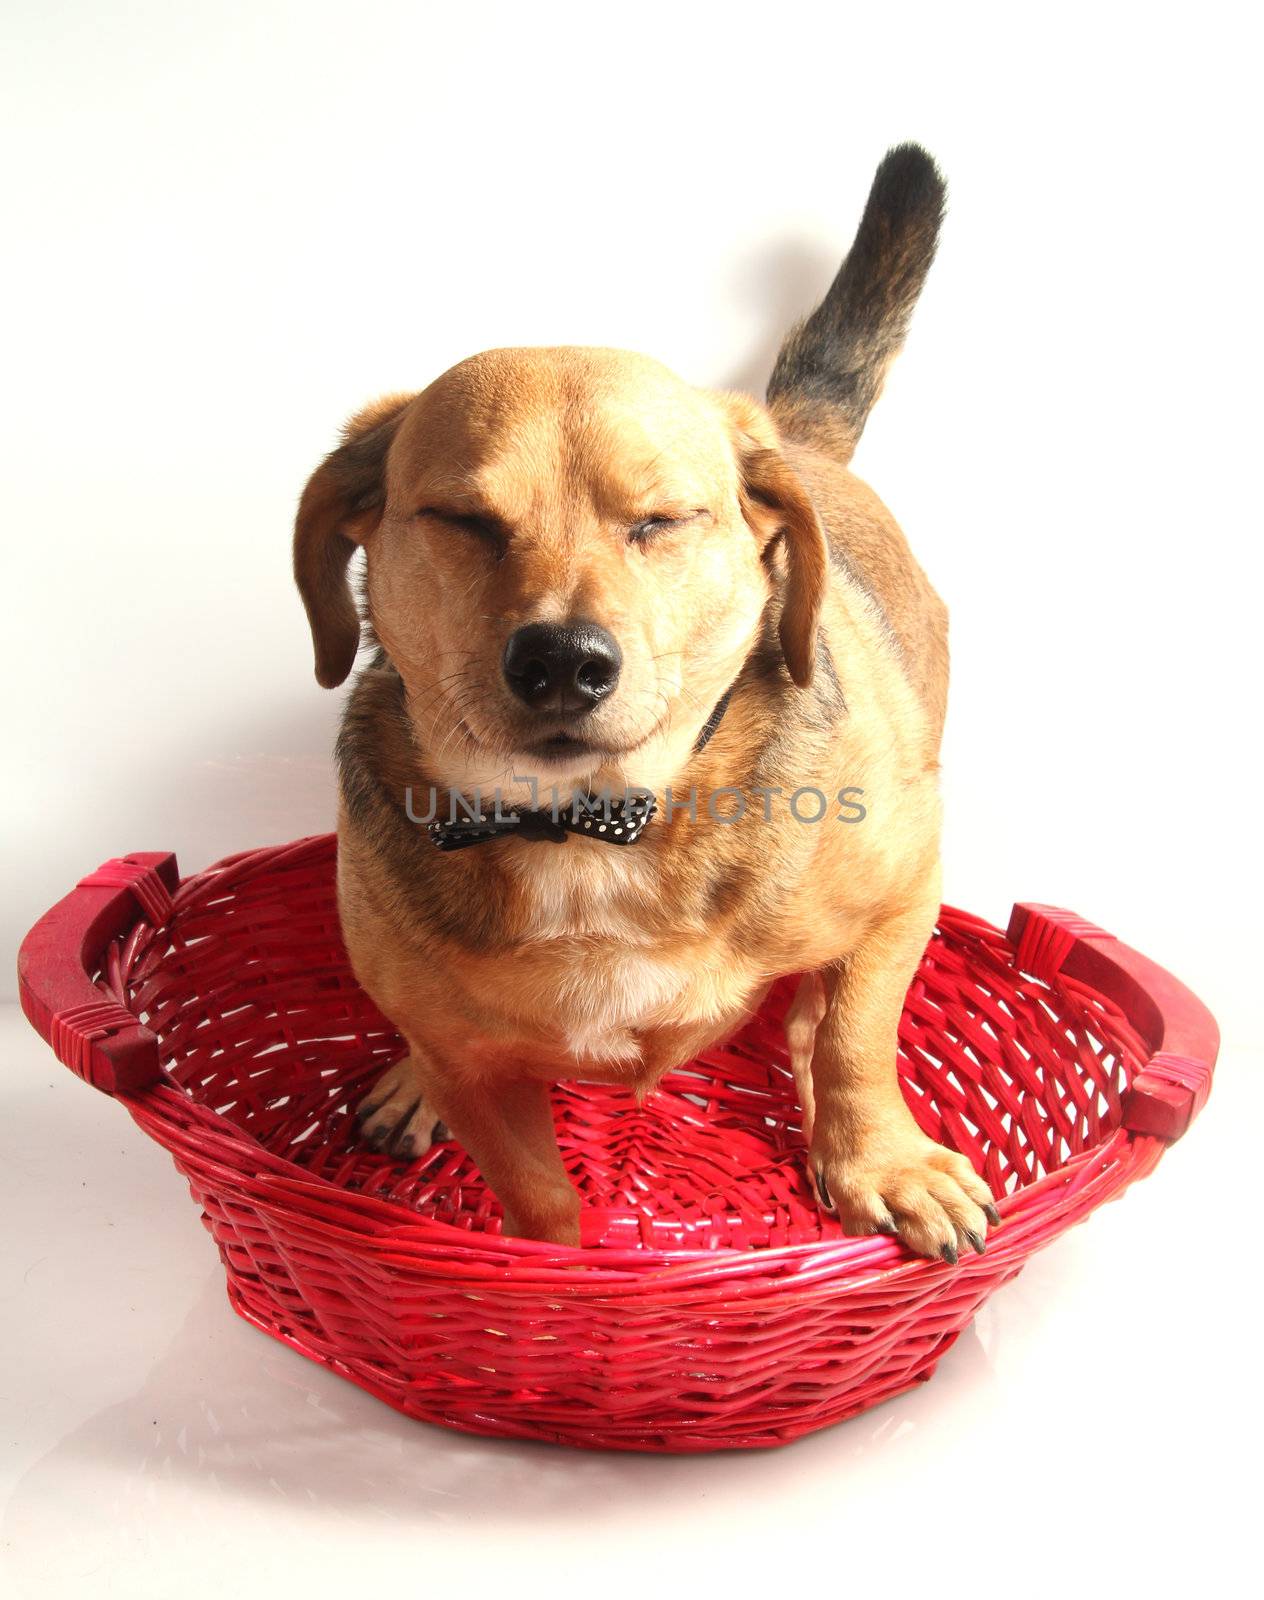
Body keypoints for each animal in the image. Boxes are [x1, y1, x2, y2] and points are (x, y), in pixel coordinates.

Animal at [294, 144, 998, 1254]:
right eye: (460, 519)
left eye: (662, 519)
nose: (561, 661)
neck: (586, 833)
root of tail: (787, 433)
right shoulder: (479, 1081)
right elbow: (538, 1197)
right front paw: (551, 1277)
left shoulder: (903, 894)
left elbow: (855, 1039)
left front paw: (880, 1162)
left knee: (820, 1018)